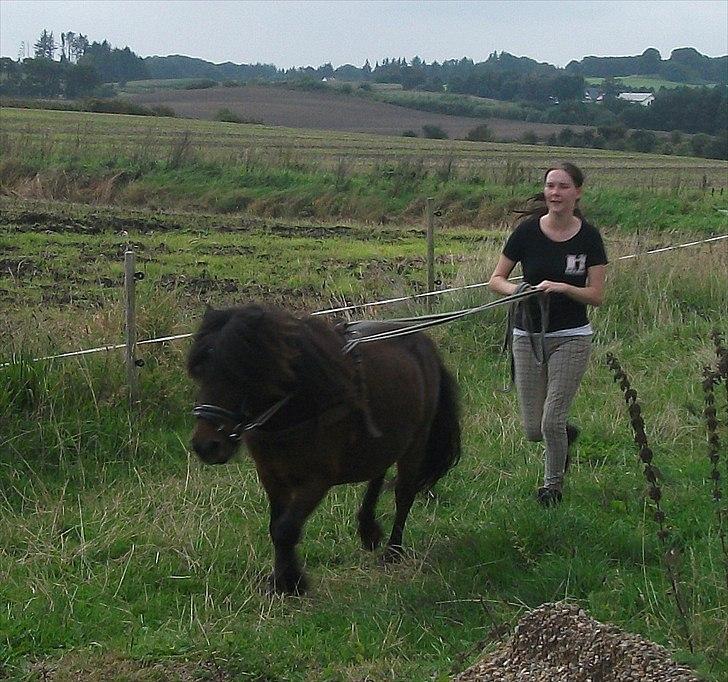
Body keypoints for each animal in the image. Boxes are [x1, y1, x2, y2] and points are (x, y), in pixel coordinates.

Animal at [188, 302, 460, 588]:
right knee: (378, 472)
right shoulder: (271, 475)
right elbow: (276, 526)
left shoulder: (318, 479)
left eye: (239, 373)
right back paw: (368, 529)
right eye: (199, 373)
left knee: (404, 494)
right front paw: (282, 580)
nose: (206, 446)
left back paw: (393, 551)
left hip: (416, 442)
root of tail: (424, 344)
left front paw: (291, 582)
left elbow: (286, 529)